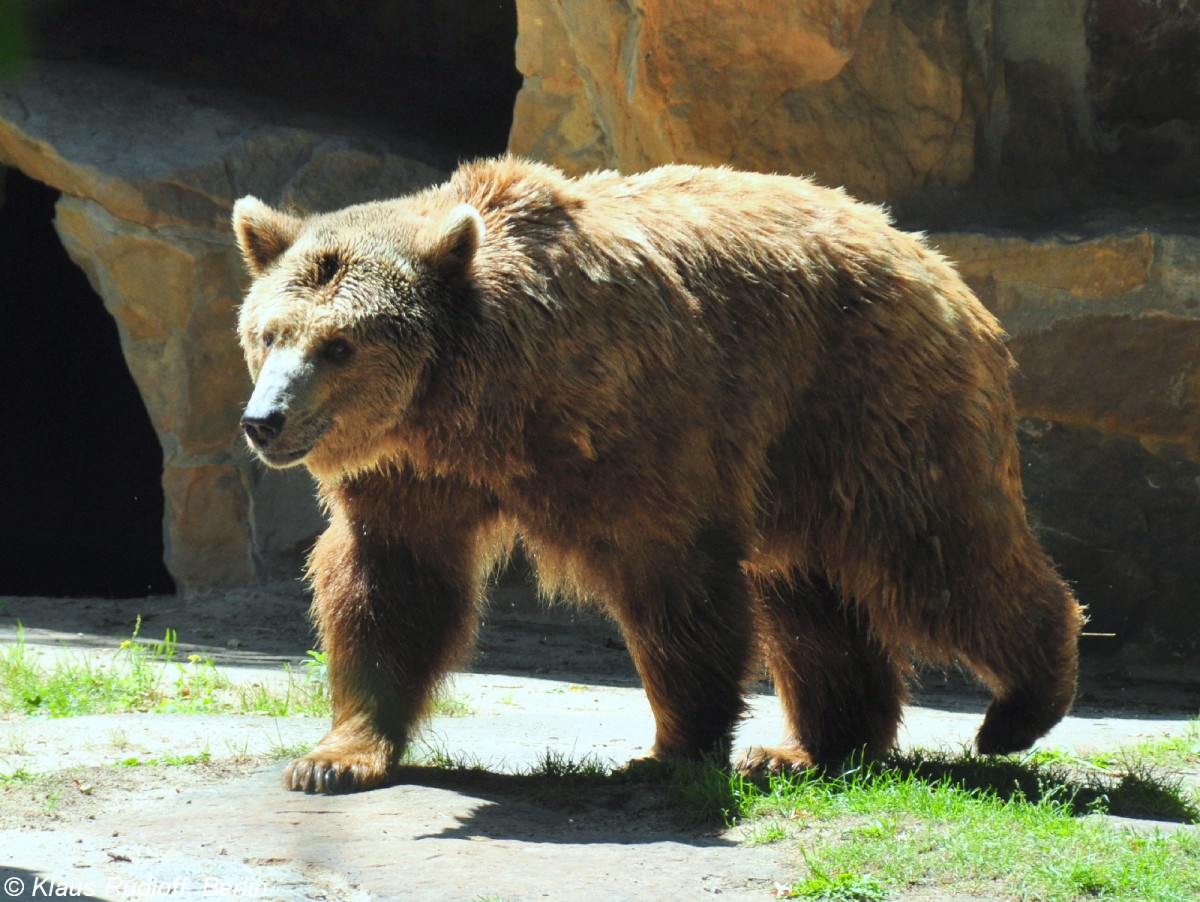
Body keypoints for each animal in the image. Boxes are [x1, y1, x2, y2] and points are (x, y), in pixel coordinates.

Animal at [234, 158, 1089, 791]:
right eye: (269, 332)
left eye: (339, 345)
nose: (264, 419)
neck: (478, 404)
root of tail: (922, 248)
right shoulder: (412, 479)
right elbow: (388, 589)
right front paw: (336, 757)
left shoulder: (635, 426)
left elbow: (671, 580)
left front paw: (670, 746)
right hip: (799, 462)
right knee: (812, 596)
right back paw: (812, 746)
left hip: (868, 403)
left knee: (938, 556)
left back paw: (1019, 707)